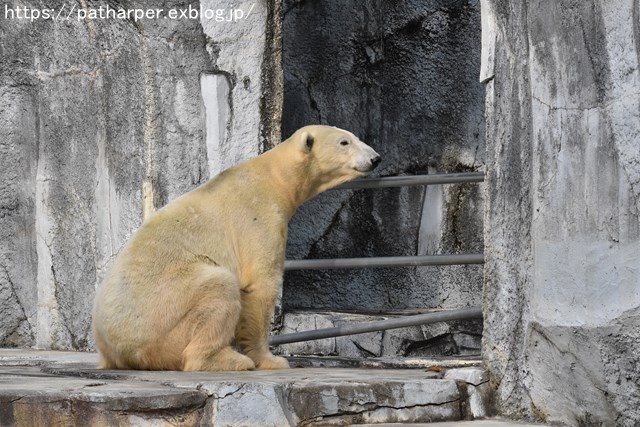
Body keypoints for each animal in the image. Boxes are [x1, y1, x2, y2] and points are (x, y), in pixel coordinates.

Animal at [90, 126, 380, 372]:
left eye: (353, 137)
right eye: (344, 142)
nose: (375, 158)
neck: (273, 178)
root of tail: (115, 351)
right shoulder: (257, 218)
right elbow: (260, 284)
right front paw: (271, 360)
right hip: (165, 316)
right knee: (217, 287)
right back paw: (228, 360)